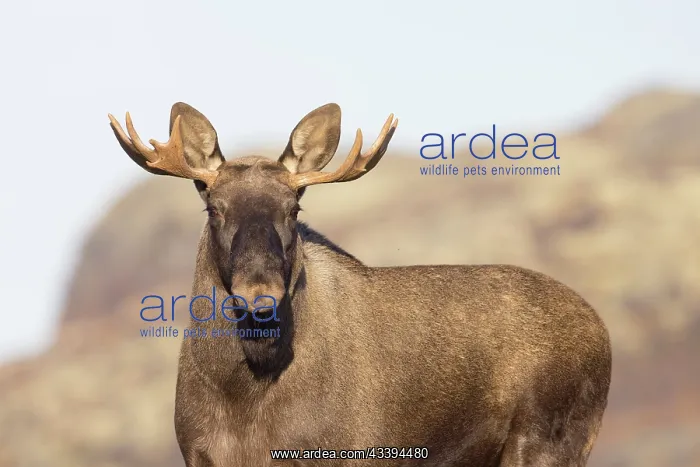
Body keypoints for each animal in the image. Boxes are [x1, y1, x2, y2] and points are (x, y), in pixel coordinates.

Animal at [108, 102, 612, 467]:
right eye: (214, 207)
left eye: (294, 207)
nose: (259, 296)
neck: (242, 395)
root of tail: (602, 332)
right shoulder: (200, 454)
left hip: (551, 439)